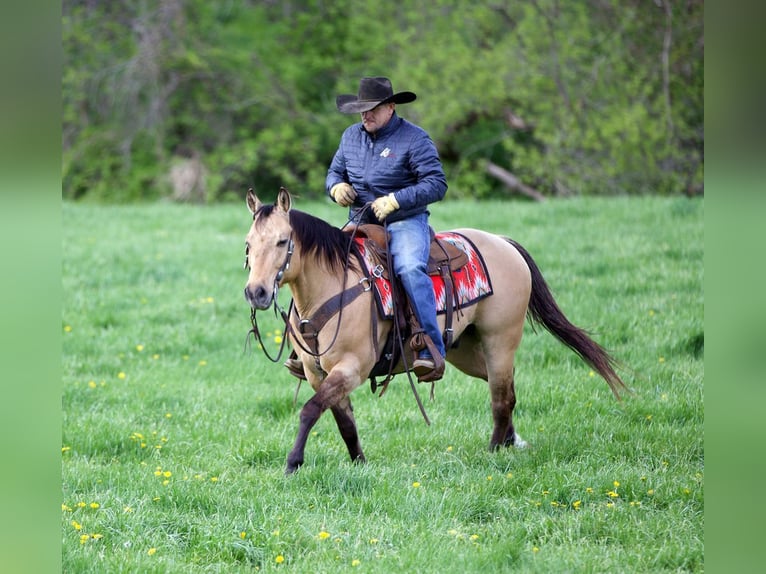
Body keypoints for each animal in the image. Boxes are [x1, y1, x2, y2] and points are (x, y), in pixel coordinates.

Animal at [243, 188, 628, 474]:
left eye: (282, 242)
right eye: (248, 243)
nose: (256, 292)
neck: (335, 284)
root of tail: (503, 243)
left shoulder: (352, 367)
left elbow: (310, 410)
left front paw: (293, 463)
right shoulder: (316, 371)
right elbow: (343, 420)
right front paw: (359, 462)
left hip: (500, 340)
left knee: (501, 396)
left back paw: (494, 450)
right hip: (464, 350)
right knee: (505, 387)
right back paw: (511, 440)